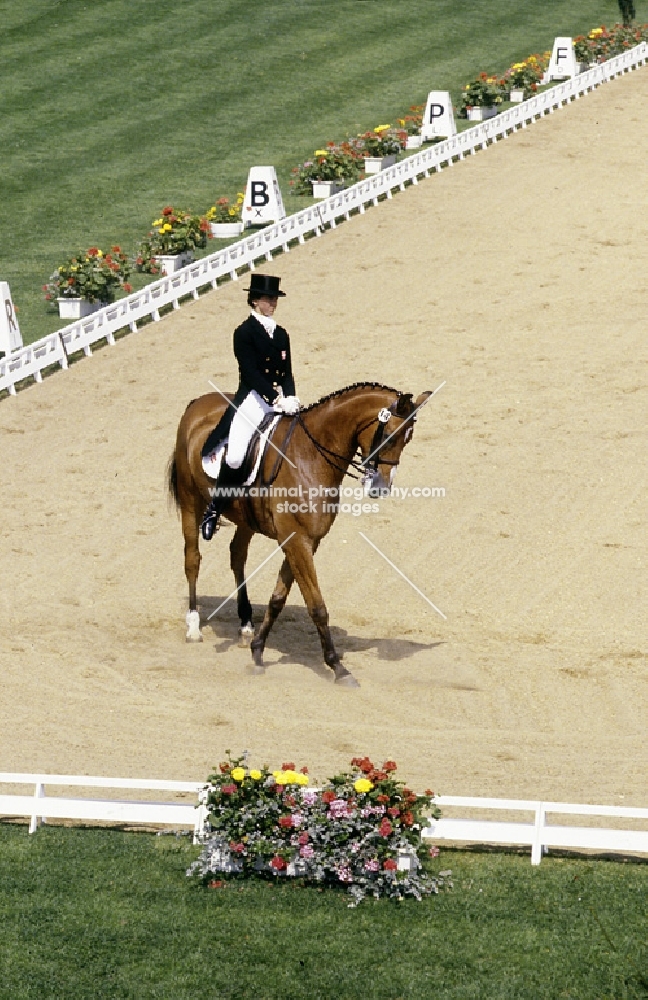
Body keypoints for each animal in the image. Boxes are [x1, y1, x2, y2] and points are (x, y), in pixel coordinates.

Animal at [167, 382, 430, 688]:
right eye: (388, 436)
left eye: (407, 440)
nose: (380, 488)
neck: (310, 457)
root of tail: (199, 402)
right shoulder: (297, 541)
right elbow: (316, 606)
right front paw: (338, 667)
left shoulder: (306, 541)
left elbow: (278, 598)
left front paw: (258, 651)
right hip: (190, 500)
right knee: (193, 559)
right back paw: (193, 627)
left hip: (245, 520)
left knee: (237, 556)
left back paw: (245, 626)